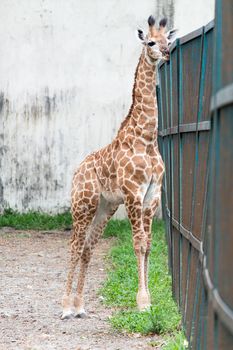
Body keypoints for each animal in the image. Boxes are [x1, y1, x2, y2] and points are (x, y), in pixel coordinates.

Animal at [61, 15, 177, 318]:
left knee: (88, 248)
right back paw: (65, 307)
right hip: (83, 204)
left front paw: (148, 299)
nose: (167, 53)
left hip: (105, 206)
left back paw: (79, 306)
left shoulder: (152, 195)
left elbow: (148, 244)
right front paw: (143, 301)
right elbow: (137, 242)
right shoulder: (134, 193)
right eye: (150, 42)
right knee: (74, 246)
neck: (147, 138)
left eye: (167, 39)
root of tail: (77, 170)